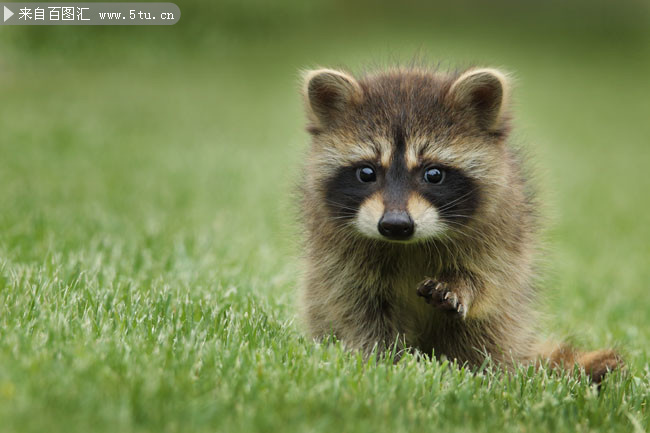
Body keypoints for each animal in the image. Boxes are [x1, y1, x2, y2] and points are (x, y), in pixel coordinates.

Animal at [296, 64, 620, 382]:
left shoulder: (502, 227)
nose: (395, 225)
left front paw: (462, 285)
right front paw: (385, 360)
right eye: (366, 173)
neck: (408, 244)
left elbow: (490, 278)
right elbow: (357, 306)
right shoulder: (337, 253)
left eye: (434, 174)